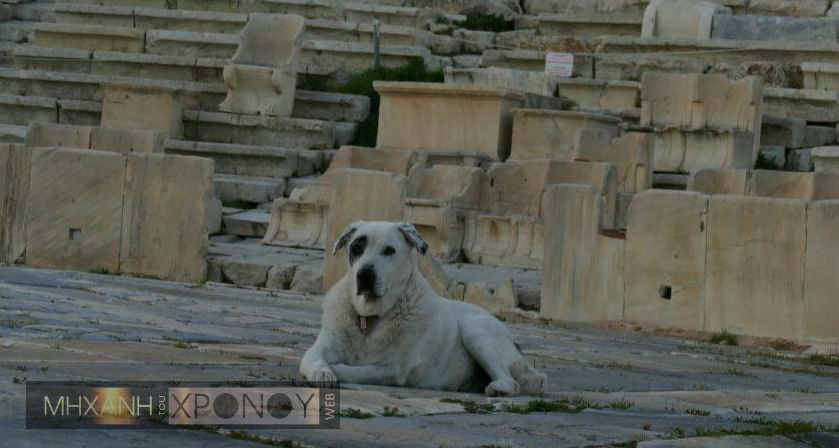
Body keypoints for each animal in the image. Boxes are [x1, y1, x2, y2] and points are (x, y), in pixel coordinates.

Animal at [298, 220, 548, 396]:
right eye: (356, 248)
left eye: (389, 250)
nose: (364, 275)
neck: (369, 319)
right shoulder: (321, 348)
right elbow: (314, 359)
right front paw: (323, 372)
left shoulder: (392, 369)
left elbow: (355, 370)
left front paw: (335, 370)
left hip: (475, 330)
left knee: (512, 382)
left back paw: (499, 387)